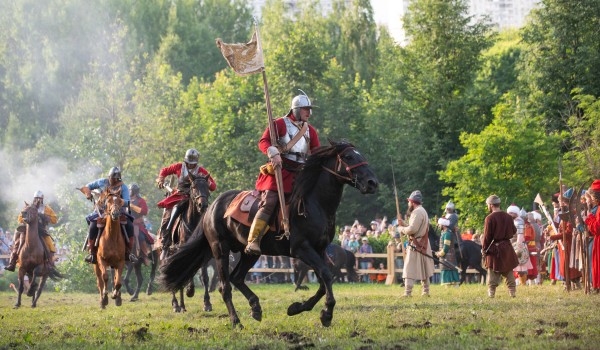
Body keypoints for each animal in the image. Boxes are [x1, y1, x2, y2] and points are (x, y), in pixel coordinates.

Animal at [159, 140, 376, 328]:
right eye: (348, 156)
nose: (372, 182)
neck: (314, 203)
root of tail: (211, 208)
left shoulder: (320, 250)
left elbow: (324, 280)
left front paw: (298, 308)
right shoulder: (302, 249)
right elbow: (326, 276)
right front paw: (327, 314)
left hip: (249, 252)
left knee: (237, 277)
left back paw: (255, 307)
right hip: (220, 250)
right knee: (224, 286)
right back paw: (235, 321)